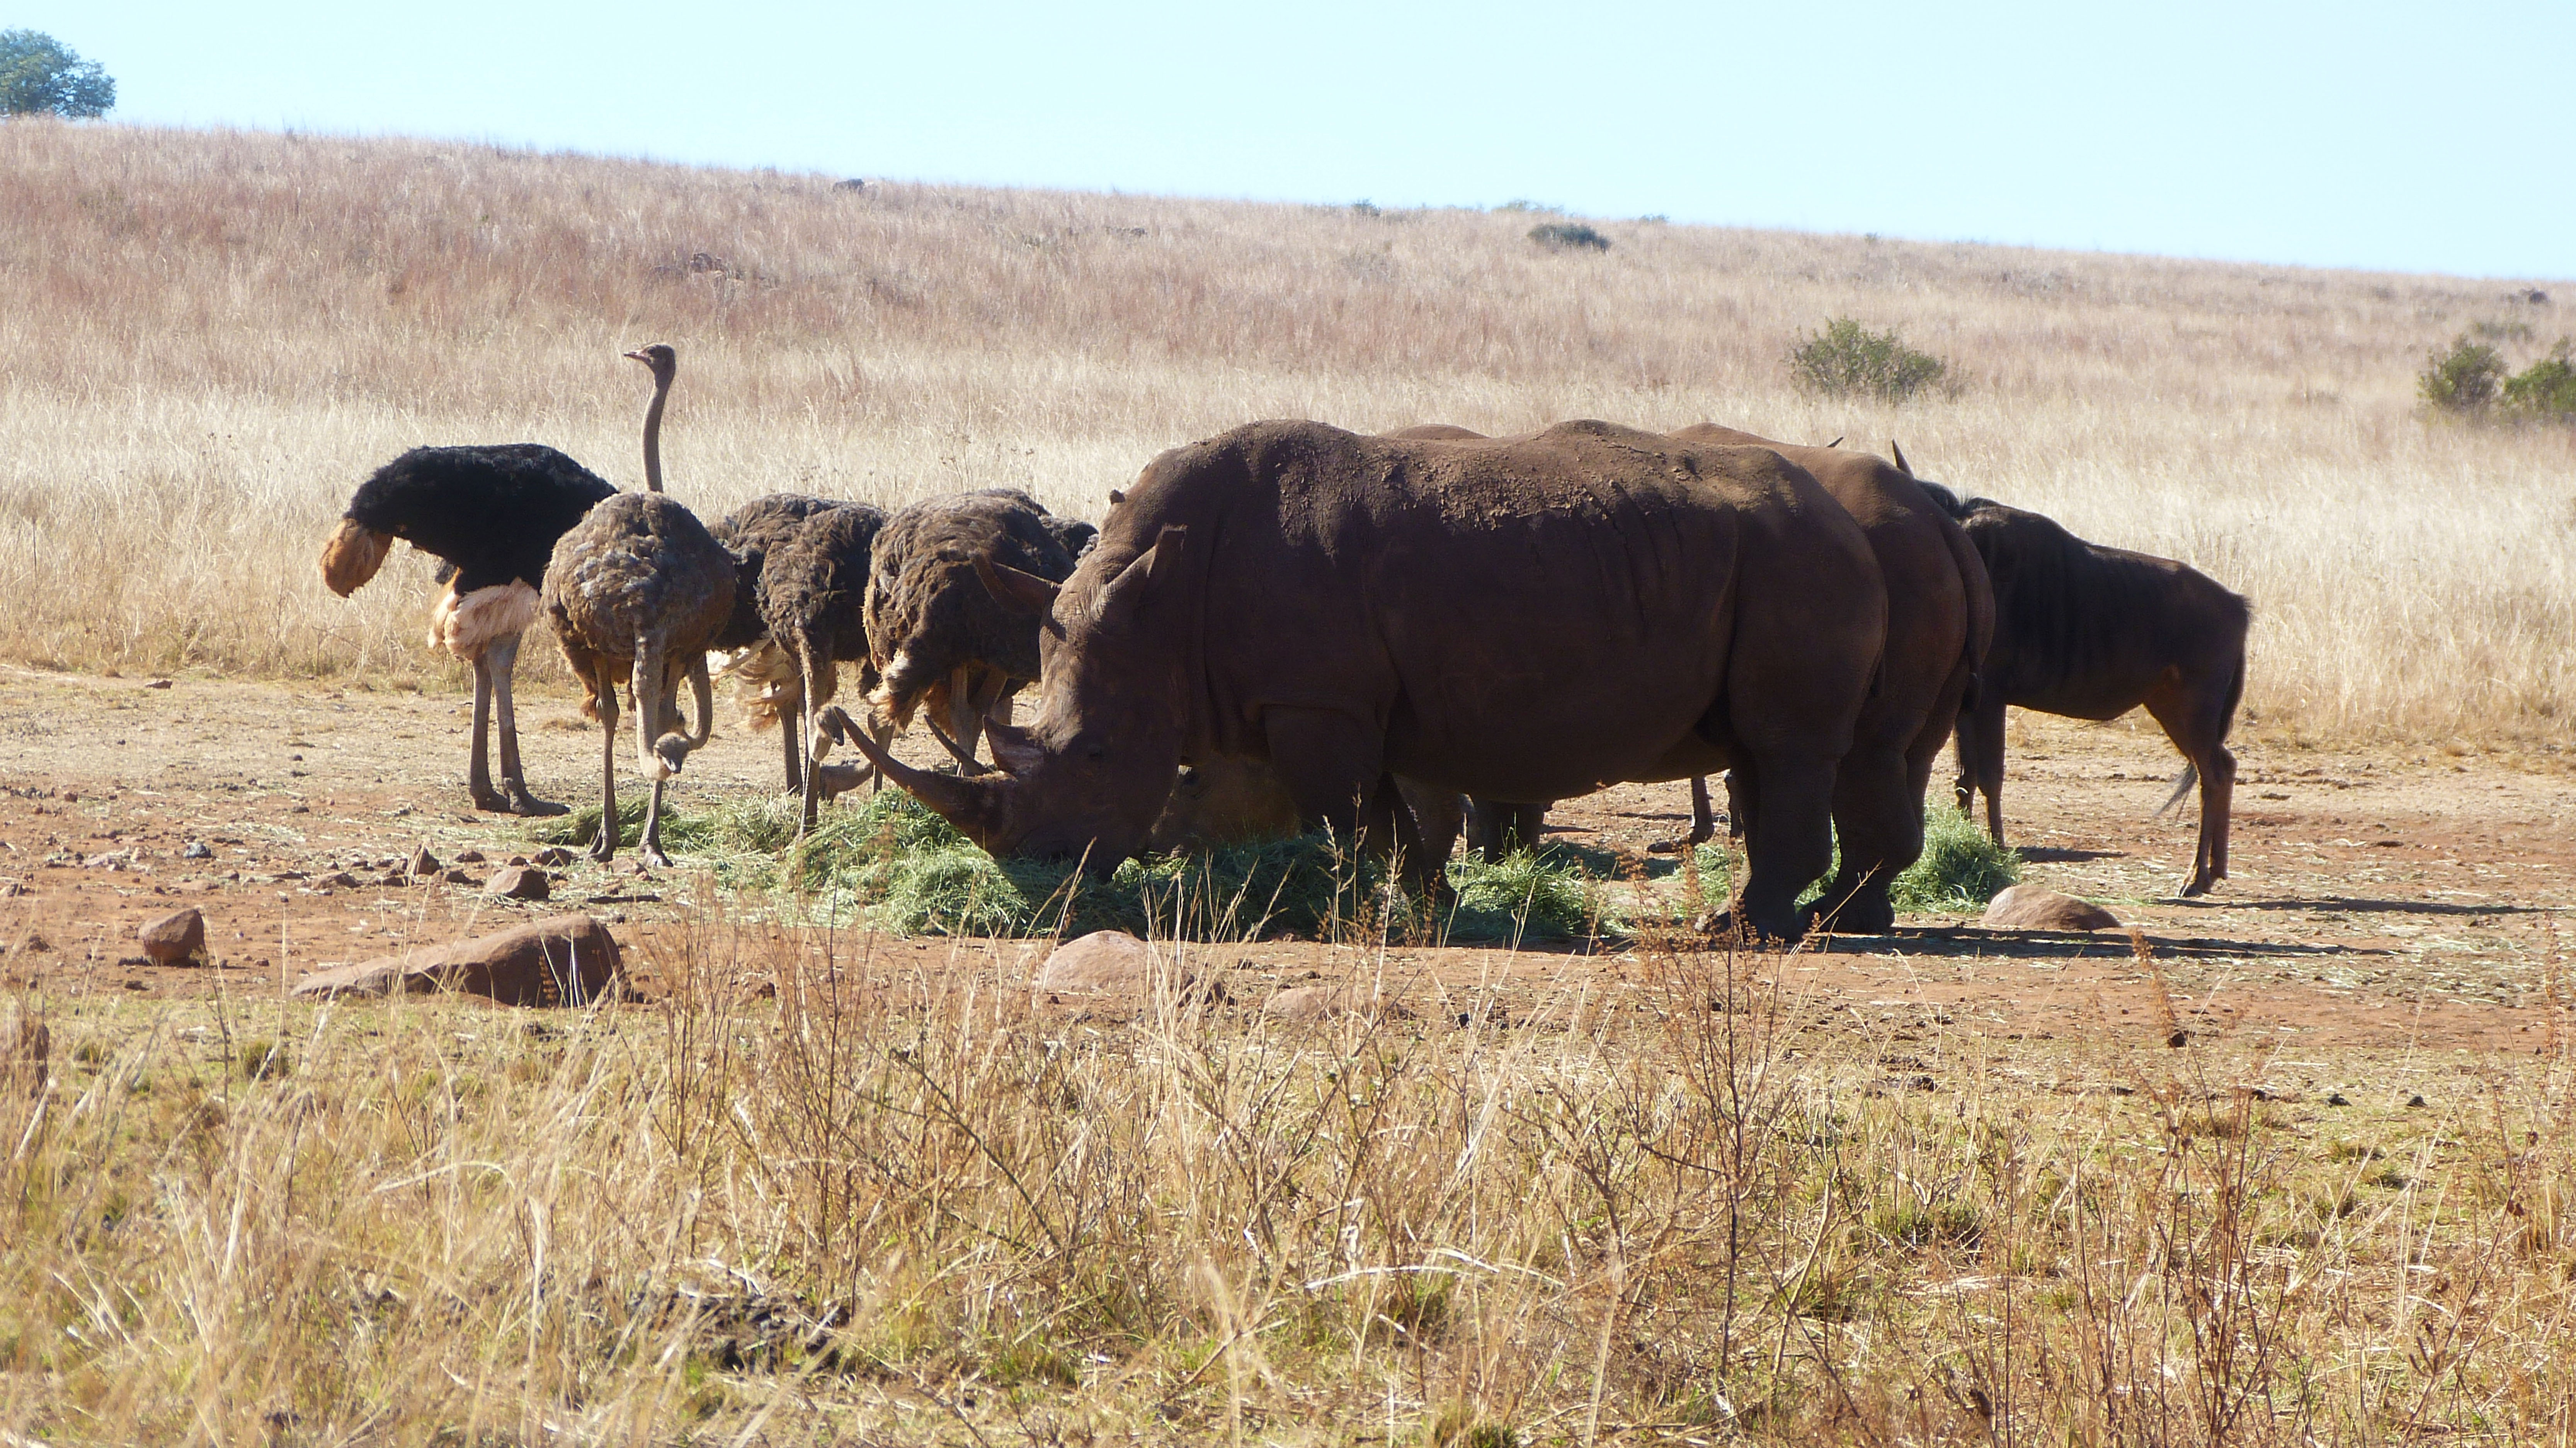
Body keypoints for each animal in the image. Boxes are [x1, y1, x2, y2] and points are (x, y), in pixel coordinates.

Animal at [839, 419, 1886, 941]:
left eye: (1094, 754)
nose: (1041, 866)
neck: (1162, 605)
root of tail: (1848, 521)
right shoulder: (1343, 698)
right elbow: (1386, 817)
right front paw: (1432, 907)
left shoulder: (1317, 699)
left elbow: (1346, 814)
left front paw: (1352, 911)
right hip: (1769, 562)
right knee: (1760, 751)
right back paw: (1764, 919)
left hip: (1798, 563)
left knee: (1787, 748)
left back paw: (1741, 933)